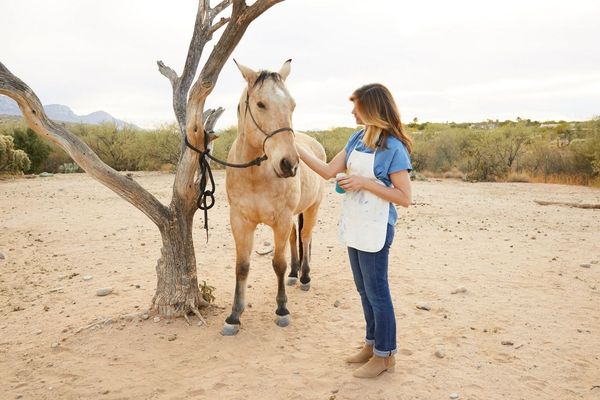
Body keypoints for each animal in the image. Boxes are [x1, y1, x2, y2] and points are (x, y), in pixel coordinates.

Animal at [220, 59, 324, 334]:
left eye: (292, 105)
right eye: (260, 104)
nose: (289, 164)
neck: (256, 174)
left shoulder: (281, 220)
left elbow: (278, 263)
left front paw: (282, 310)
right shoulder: (241, 222)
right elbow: (242, 266)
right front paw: (234, 316)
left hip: (312, 208)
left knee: (306, 237)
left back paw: (305, 276)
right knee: (295, 239)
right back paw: (295, 275)